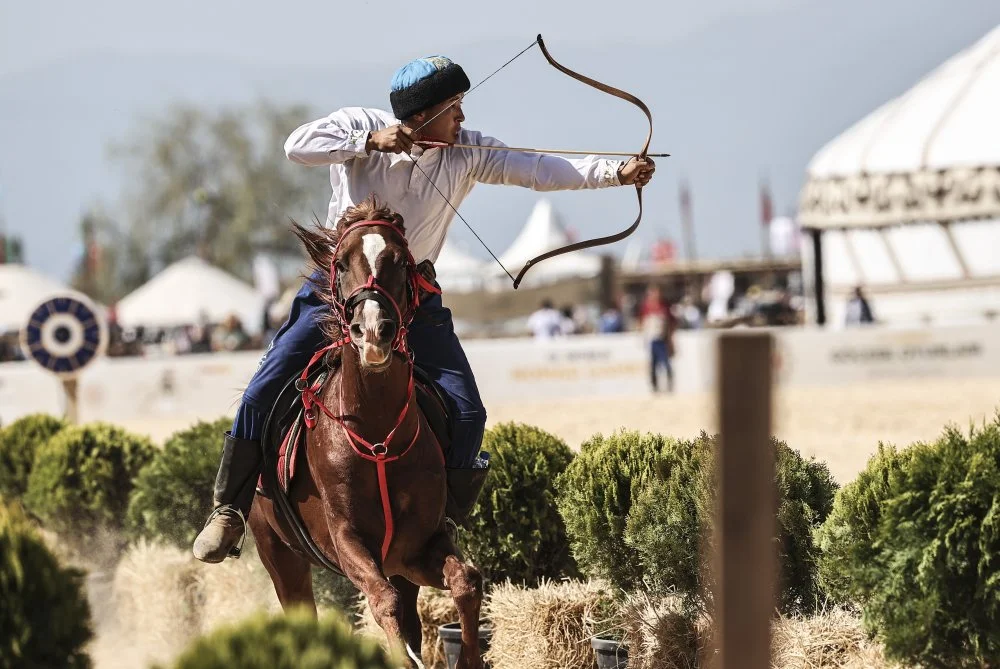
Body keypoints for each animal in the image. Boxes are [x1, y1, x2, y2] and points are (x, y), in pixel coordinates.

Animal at [249, 197, 484, 668]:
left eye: (399, 261)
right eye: (341, 263)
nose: (373, 330)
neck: (377, 438)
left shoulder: (418, 547)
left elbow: (465, 580)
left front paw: (469, 658)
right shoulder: (349, 541)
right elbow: (383, 602)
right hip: (279, 557)